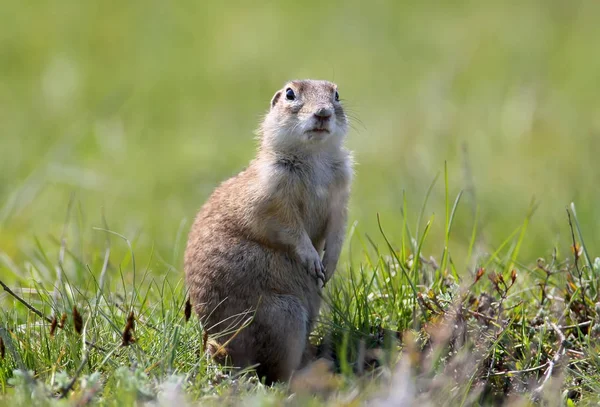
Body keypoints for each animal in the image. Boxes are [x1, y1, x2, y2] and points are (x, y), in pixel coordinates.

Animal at [183, 79, 352, 386]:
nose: (323, 113)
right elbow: (288, 227)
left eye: (336, 94)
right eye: (290, 94)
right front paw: (312, 259)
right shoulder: (271, 194)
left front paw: (329, 264)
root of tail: (226, 350)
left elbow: (337, 229)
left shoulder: (341, 192)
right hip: (285, 318)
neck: (314, 157)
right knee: (275, 375)